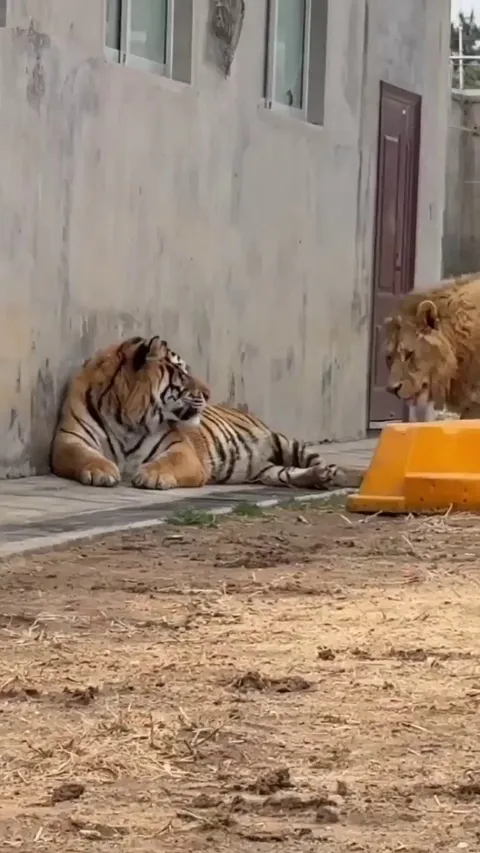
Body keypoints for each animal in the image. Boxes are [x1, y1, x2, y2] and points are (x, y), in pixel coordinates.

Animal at [51, 335, 359, 491]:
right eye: (183, 373)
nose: (209, 393)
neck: (128, 419)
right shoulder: (69, 440)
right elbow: (85, 455)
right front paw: (102, 470)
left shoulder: (181, 450)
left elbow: (168, 462)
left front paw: (150, 476)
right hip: (268, 470)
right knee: (286, 474)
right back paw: (317, 478)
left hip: (285, 442)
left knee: (323, 461)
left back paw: (337, 476)